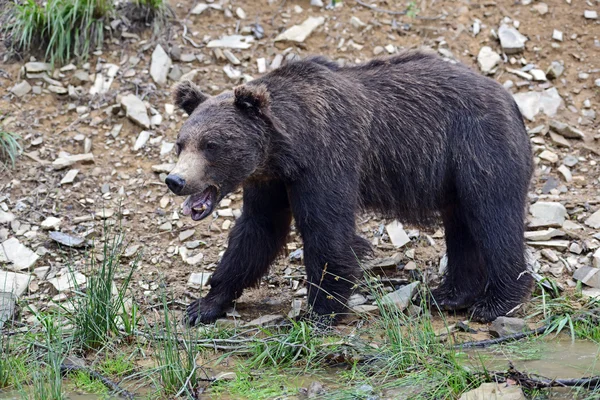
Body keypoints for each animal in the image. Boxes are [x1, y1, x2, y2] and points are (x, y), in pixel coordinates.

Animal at [165, 49, 536, 324]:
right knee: (462, 226)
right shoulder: (271, 181)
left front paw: (320, 311)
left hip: (478, 146)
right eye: (181, 144)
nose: (175, 180)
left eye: (211, 145)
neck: (286, 149)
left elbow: (325, 229)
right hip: (454, 175)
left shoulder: (327, 157)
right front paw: (204, 305)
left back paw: (497, 301)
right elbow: (257, 230)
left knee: (493, 217)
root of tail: (510, 99)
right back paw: (449, 295)